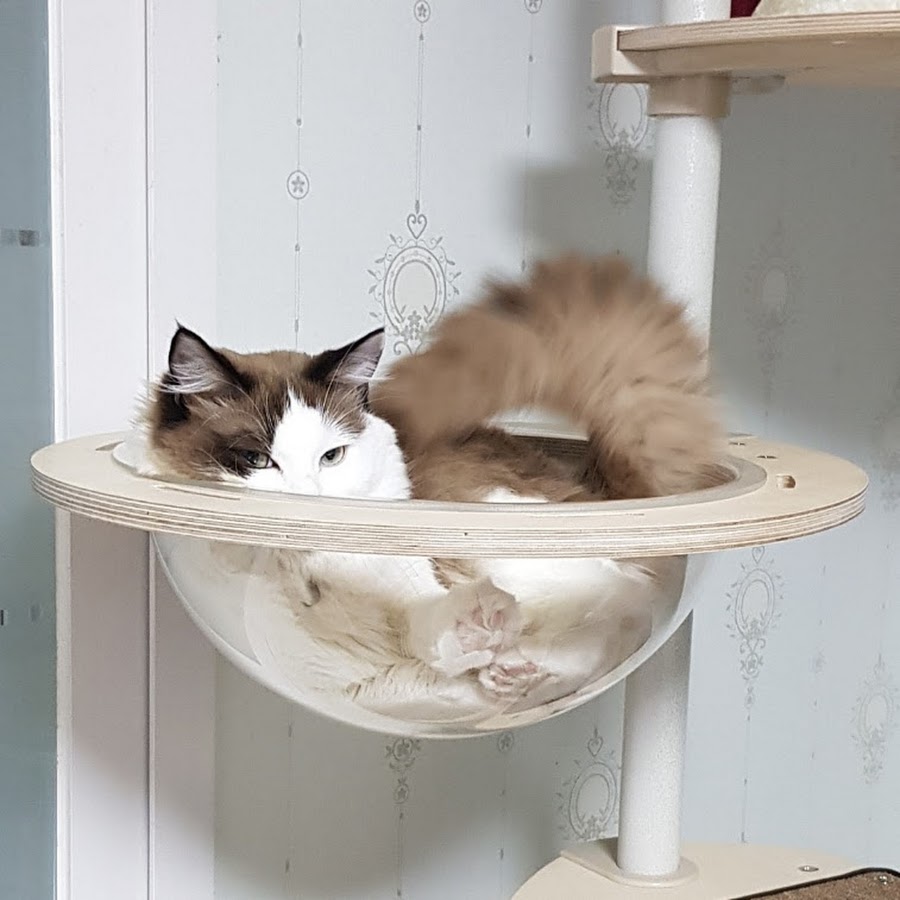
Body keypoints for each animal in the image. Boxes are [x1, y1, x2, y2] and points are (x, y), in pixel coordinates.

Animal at [131, 255, 724, 724]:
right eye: (257, 460)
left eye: (331, 457)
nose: (309, 502)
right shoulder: (355, 676)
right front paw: (491, 652)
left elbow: (430, 619)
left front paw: (485, 632)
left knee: (615, 605)